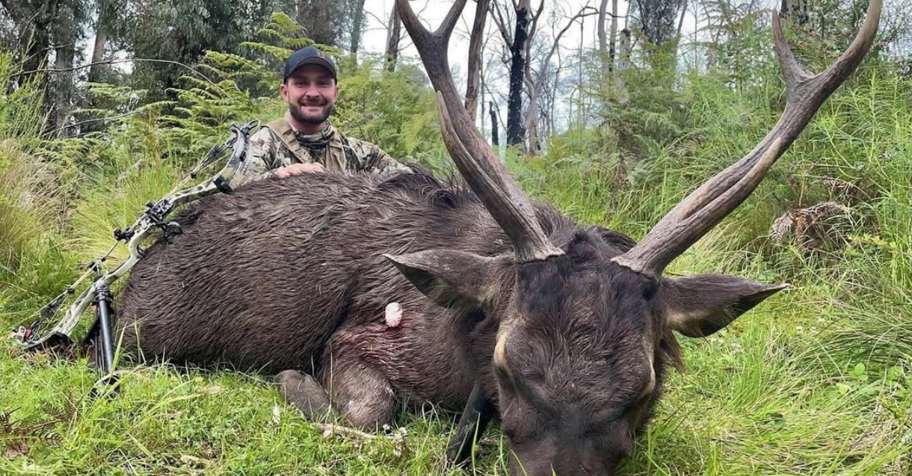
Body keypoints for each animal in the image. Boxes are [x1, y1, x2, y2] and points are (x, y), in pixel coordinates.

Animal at [115, 0, 881, 473]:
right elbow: (370, 411)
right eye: (510, 369)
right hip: (139, 333)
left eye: (642, 389)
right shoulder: (361, 337)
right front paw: (292, 382)